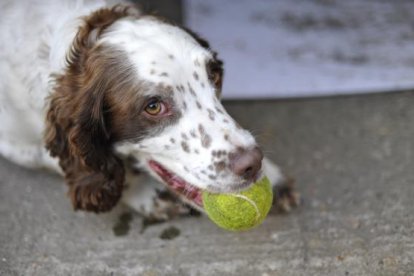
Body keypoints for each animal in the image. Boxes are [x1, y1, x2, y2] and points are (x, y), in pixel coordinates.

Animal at [0, 0, 298, 220]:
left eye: (214, 76)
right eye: (153, 107)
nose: (253, 163)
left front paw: (271, 177)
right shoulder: (15, 142)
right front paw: (146, 193)